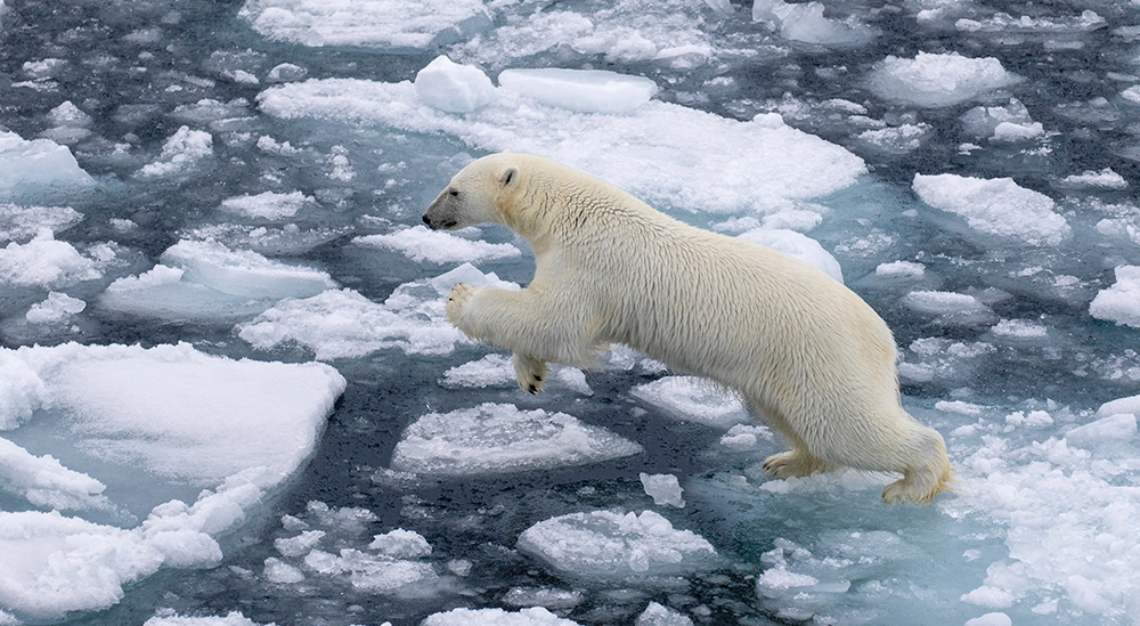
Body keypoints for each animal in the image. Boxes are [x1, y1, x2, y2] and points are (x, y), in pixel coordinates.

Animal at [424, 152, 948, 501]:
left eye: (454, 189)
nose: (427, 216)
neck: (571, 213)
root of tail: (882, 337)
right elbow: (543, 324)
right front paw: (531, 374)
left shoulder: (590, 266)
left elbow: (557, 321)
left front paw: (459, 296)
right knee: (799, 421)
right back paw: (786, 461)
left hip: (822, 355)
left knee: (849, 426)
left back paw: (912, 485)